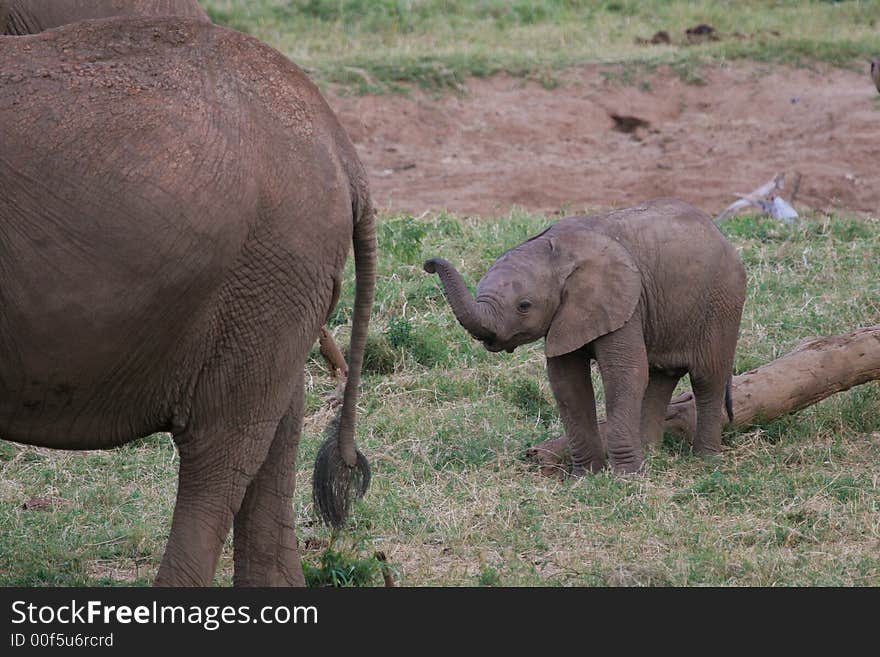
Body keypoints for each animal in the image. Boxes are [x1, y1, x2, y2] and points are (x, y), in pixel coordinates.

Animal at [422, 197, 744, 474]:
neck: (556, 252)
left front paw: (626, 477)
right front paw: (586, 475)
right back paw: (652, 453)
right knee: (660, 377)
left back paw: (705, 459)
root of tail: (721, 234)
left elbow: (624, 373)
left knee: (707, 377)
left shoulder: (623, 302)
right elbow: (567, 382)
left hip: (723, 300)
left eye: (524, 306)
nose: (428, 263)